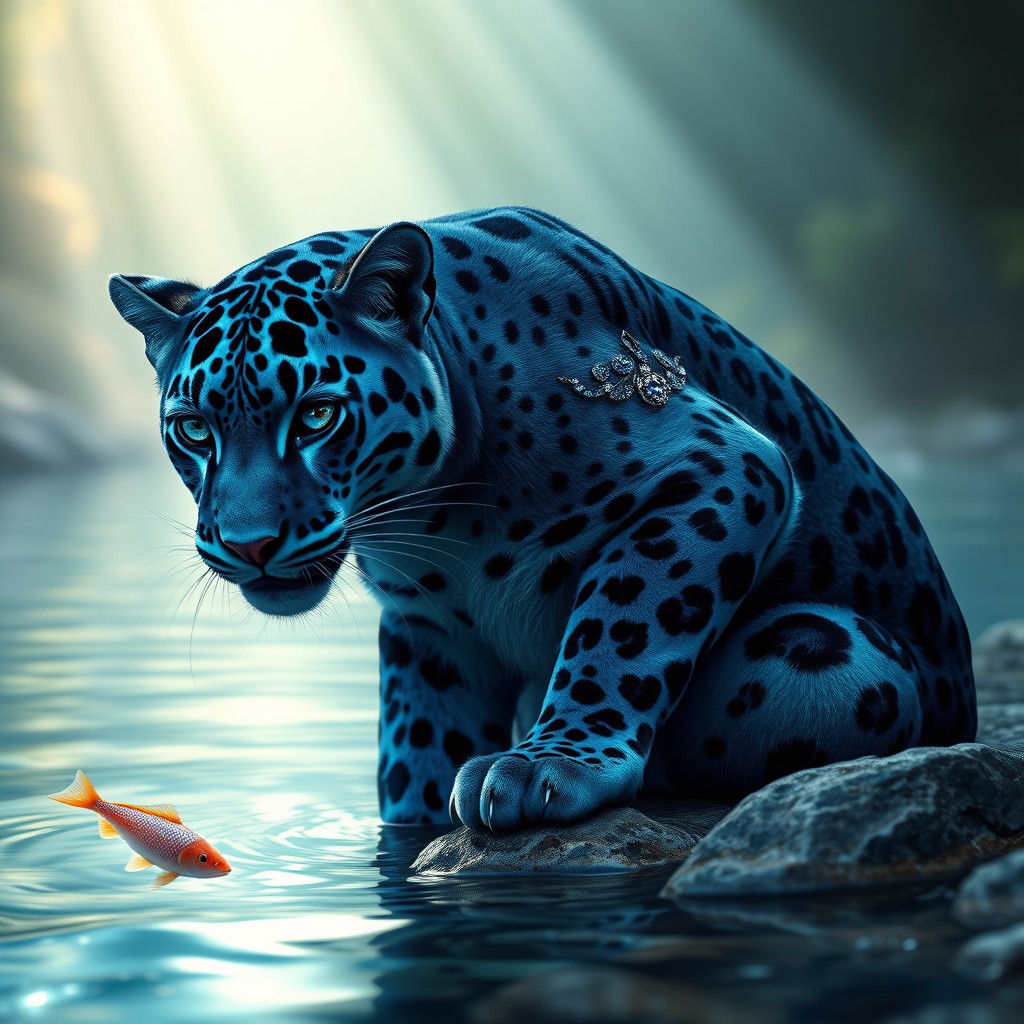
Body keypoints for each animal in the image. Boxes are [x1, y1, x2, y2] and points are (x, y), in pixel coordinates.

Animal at [109, 205, 976, 830]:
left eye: (318, 415)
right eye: (194, 430)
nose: (250, 545)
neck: (436, 521)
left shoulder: (726, 463)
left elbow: (623, 621)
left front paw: (548, 767)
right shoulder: (431, 628)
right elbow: (418, 746)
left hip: (826, 653)